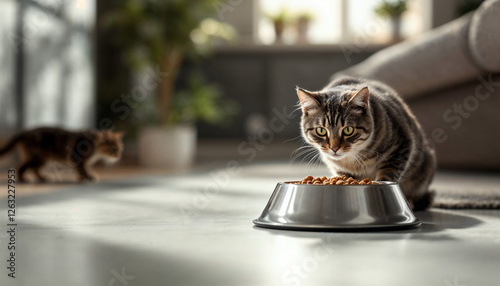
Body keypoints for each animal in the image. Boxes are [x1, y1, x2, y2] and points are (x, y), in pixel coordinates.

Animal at [298, 76, 436, 210]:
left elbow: (388, 174)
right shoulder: (339, 169)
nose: (334, 148)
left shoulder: (402, 144)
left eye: (348, 130)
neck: (352, 160)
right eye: (321, 130)